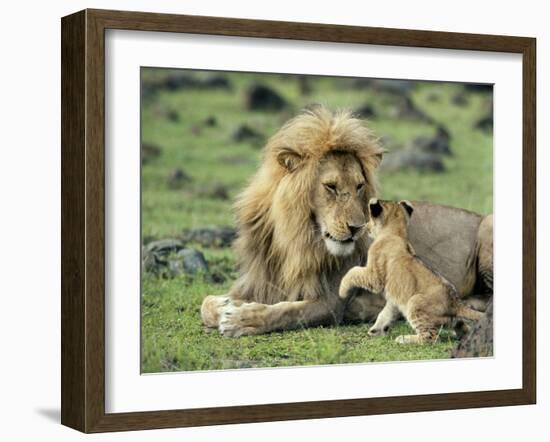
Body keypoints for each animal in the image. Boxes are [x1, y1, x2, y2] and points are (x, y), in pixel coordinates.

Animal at [338, 199, 486, 344]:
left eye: (369, 219)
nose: (365, 227)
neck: (396, 233)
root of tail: (455, 303)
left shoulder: (375, 277)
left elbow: (353, 271)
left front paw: (342, 291)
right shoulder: (395, 298)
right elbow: (386, 312)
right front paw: (376, 330)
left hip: (414, 303)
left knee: (430, 337)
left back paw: (404, 339)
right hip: (454, 320)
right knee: (464, 330)